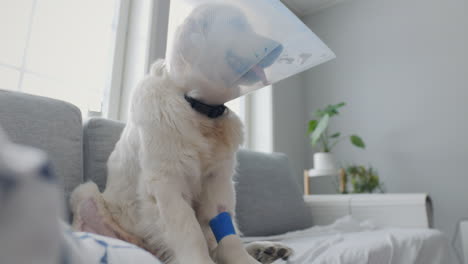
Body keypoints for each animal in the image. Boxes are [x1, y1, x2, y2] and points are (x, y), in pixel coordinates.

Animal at [71, 4, 290, 264]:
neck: (198, 107)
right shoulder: (167, 181)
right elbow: (189, 231)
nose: (279, 46)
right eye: (237, 26)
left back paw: (267, 249)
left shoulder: (218, 180)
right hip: (86, 194)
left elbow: (227, 233)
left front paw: (244, 259)